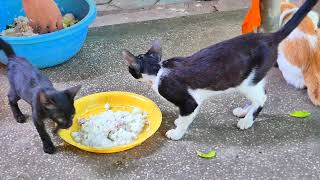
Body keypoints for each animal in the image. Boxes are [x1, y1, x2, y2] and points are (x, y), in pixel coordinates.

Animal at [122, 0, 318, 141]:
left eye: (131, 68)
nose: (129, 70)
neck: (158, 70)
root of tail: (269, 37)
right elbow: (186, 115)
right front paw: (178, 121)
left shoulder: (187, 100)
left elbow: (187, 115)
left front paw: (177, 132)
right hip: (251, 79)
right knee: (260, 93)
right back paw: (244, 111)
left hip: (247, 82)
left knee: (262, 98)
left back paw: (247, 120)